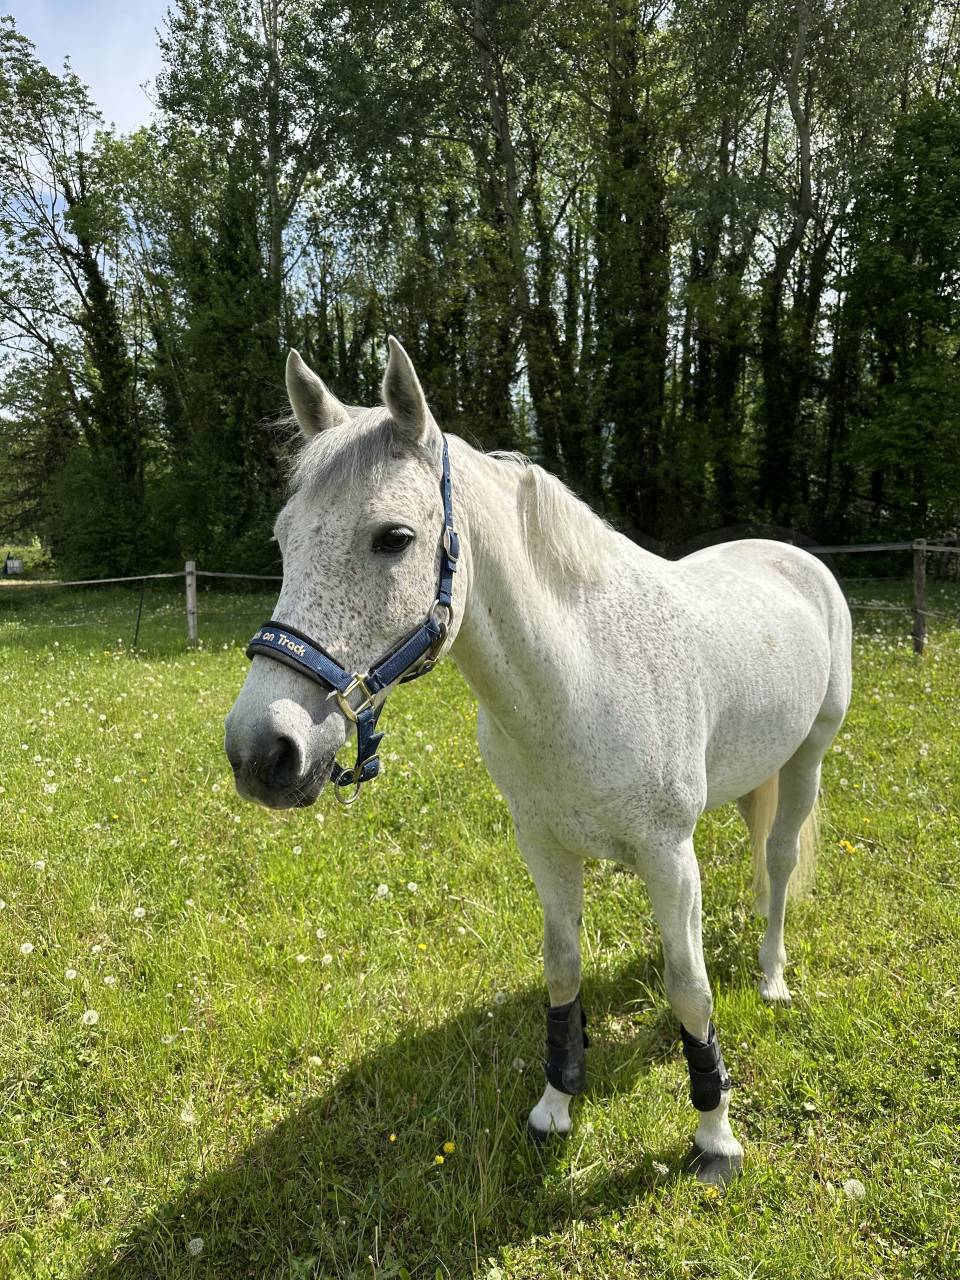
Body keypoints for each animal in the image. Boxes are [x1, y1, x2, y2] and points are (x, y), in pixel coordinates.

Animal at [224, 339, 852, 1184]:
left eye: (393, 537)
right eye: (284, 540)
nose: (261, 750)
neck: (580, 676)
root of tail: (794, 559)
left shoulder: (668, 855)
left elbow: (690, 990)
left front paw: (715, 1136)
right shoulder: (545, 849)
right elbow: (562, 971)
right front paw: (556, 1107)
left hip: (809, 758)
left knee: (780, 862)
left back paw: (773, 975)